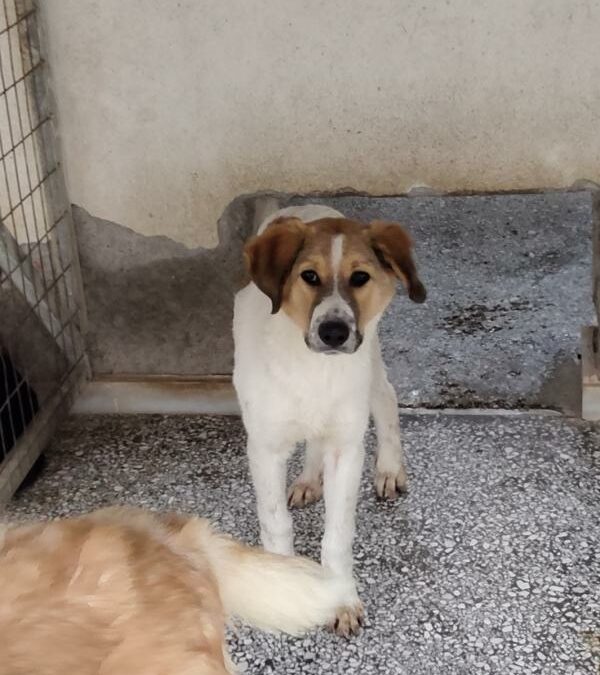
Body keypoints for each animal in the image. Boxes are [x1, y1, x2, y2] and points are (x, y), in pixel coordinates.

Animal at [233, 201, 426, 636]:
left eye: (360, 277)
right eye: (309, 276)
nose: (334, 332)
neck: (314, 368)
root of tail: (310, 206)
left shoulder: (346, 450)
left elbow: (337, 536)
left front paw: (340, 600)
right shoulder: (265, 448)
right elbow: (276, 523)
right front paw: (283, 591)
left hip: (370, 360)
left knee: (386, 398)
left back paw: (389, 469)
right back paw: (307, 480)